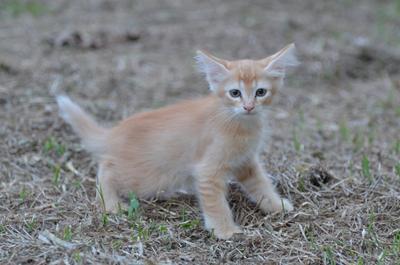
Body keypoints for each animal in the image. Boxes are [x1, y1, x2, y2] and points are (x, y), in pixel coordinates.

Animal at [57, 42, 298, 237]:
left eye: (260, 92)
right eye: (235, 93)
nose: (248, 107)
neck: (240, 123)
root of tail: (115, 131)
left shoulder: (245, 162)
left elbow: (261, 184)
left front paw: (277, 205)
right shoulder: (207, 170)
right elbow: (216, 204)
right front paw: (225, 231)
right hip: (143, 177)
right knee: (106, 167)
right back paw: (111, 204)